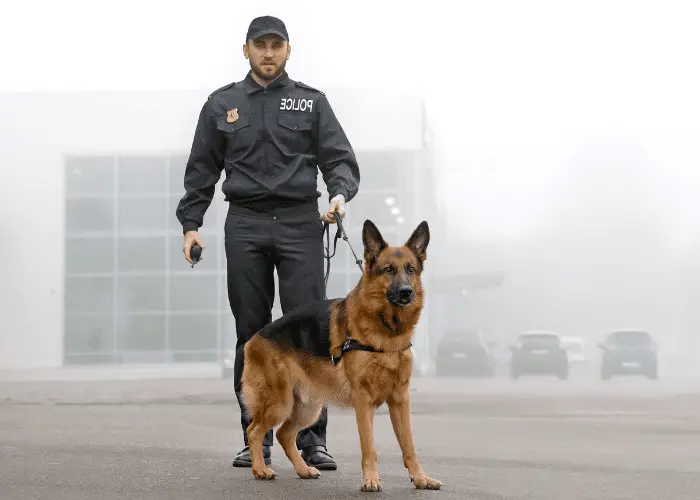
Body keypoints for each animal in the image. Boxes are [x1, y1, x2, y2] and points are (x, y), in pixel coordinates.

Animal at [238, 220, 440, 492]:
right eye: (388, 270)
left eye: (411, 269)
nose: (407, 292)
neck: (386, 331)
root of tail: (255, 338)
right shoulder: (363, 400)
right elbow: (368, 445)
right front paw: (371, 480)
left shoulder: (400, 399)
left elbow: (409, 445)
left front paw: (420, 478)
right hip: (280, 404)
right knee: (254, 430)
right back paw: (260, 469)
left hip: (307, 408)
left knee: (284, 434)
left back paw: (303, 470)